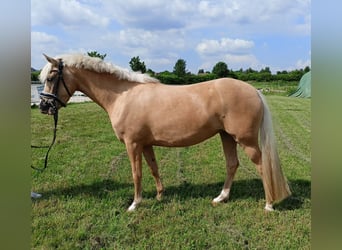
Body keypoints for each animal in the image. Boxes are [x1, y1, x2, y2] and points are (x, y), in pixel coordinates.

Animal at [40, 54, 292, 211]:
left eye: (51, 77)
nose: (43, 106)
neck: (123, 95)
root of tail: (254, 91)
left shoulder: (132, 144)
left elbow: (137, 173)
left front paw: (135, 204)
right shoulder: (146, 144)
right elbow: (153, 168)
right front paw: (160, 195)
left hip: (246, 141)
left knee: (262, 167)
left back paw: (269, 204)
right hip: (226, 136)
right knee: (232, 164)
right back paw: (221, 198)